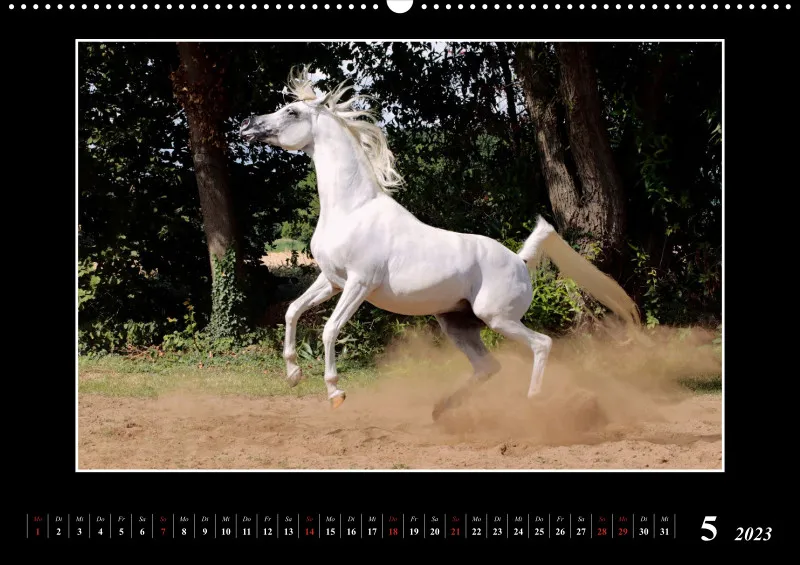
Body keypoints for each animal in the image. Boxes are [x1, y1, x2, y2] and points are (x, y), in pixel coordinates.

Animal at [239, 66, 641, 420]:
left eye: (291, 111)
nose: (247, 126)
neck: (352, 208)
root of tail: (521, 260)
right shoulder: (331, 280)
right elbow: (293, 311)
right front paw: (293, 375)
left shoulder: (358, 284)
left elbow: (329, 330)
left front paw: (335, 392)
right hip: (458, 325)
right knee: (488, 366)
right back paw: (442, 408)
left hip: (497, 317)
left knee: (541, 344)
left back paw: (533, 404)